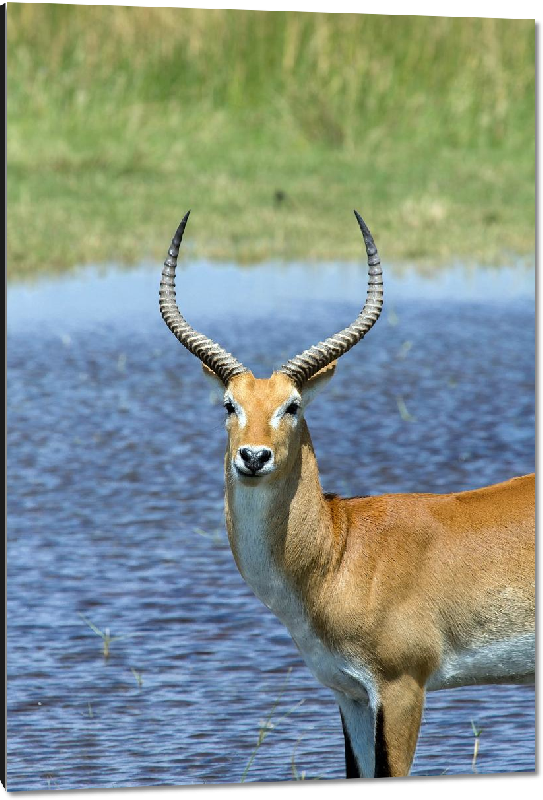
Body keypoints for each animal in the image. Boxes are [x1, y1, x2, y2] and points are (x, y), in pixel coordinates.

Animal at [158, 209, 536, 780]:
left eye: (292, 405)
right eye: (228, 404)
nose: (253, 457)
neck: (339, 550)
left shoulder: (401, 689)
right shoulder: (350, 695)